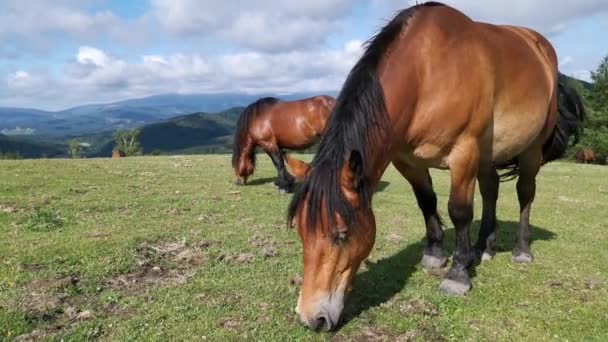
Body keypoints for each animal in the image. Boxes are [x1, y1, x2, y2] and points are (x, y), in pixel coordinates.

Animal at [288, 1, 584, 330]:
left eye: (341, 234)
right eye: (300, 231)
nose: (311, 318)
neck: (426, 72)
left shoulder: (464, 153)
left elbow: (459, 211)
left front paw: (457, 275)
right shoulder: (407, 160)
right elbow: (427, 202)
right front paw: (435, 254)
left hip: (530, 150)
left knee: (525, 193)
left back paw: (520, 249)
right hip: (487, 154)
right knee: (491, 190)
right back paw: (483, 248)